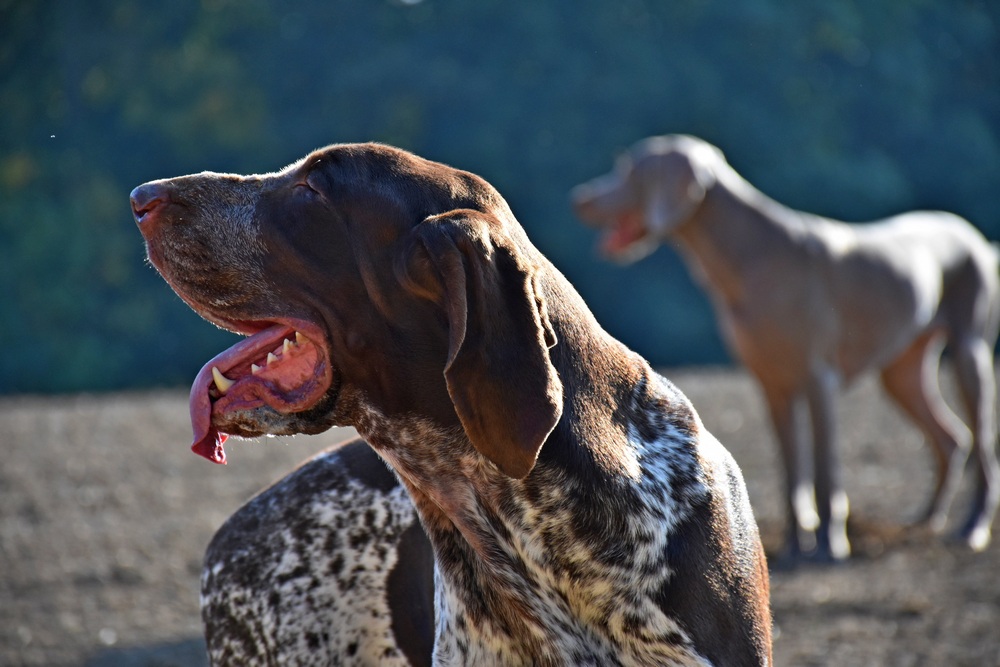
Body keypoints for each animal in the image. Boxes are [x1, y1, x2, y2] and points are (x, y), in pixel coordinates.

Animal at [576, 134, 1000, 564]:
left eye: (632, 171)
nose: (581, 197)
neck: (751, 256)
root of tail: (974, 236)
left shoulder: (818, 380)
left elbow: (825, 473)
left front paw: (830, 544)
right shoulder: (773, 387)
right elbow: (791, 473)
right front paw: (798, 545)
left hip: (970, 351)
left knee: (982, 444)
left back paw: (972, 528)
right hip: (901, 373)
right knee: (951, 438)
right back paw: (928, 520)